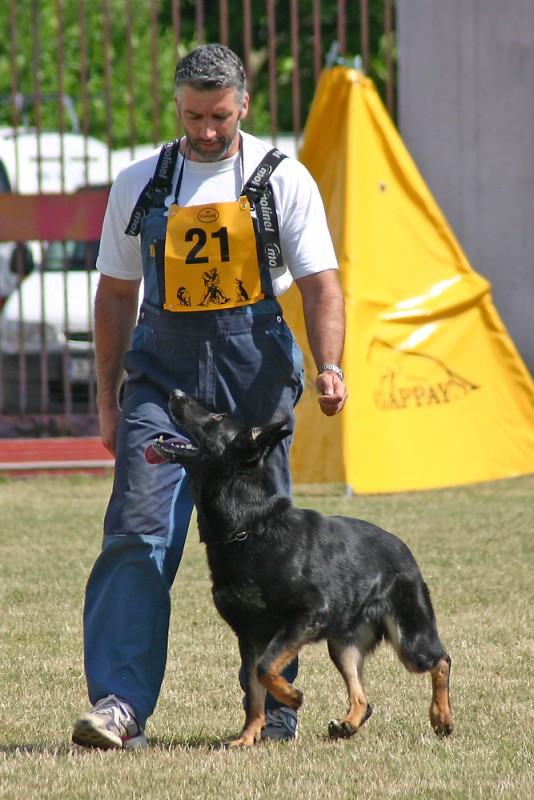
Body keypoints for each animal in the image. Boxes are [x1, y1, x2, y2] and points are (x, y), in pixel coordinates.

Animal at [151, 390, 456, 748]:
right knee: (363, 699)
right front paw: (247, 737)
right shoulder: (250, 636)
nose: (174, 393)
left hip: (408, 639)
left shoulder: (306, 615)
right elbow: (254, 691)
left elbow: (265, 669)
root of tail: (403, 548)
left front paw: (291, 696)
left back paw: (442, 718)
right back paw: (348, 724)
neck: (246, 525)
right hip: (342, 645)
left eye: (216, 418)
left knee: (441, 660)